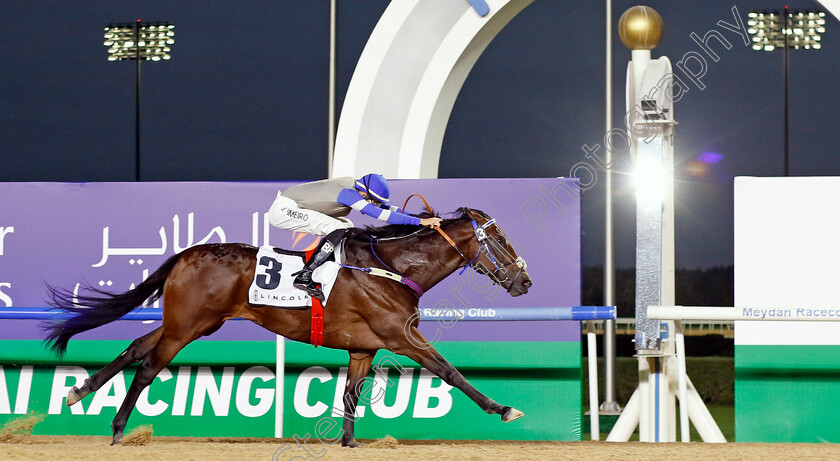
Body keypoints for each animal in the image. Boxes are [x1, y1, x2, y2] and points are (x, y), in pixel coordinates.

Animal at [42, 207, 532, 444]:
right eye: (500, 239)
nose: (524, 281)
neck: (390, 268)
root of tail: (185, 254)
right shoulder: (403, 337)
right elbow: (450, 372)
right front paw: (504, 409)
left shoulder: (364, 347)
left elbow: (350, 394)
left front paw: (349, 443)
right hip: (187, 327)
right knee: (147, 367)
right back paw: (118, 429)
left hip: (191, 322)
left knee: (136, 347)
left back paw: (79, 391)